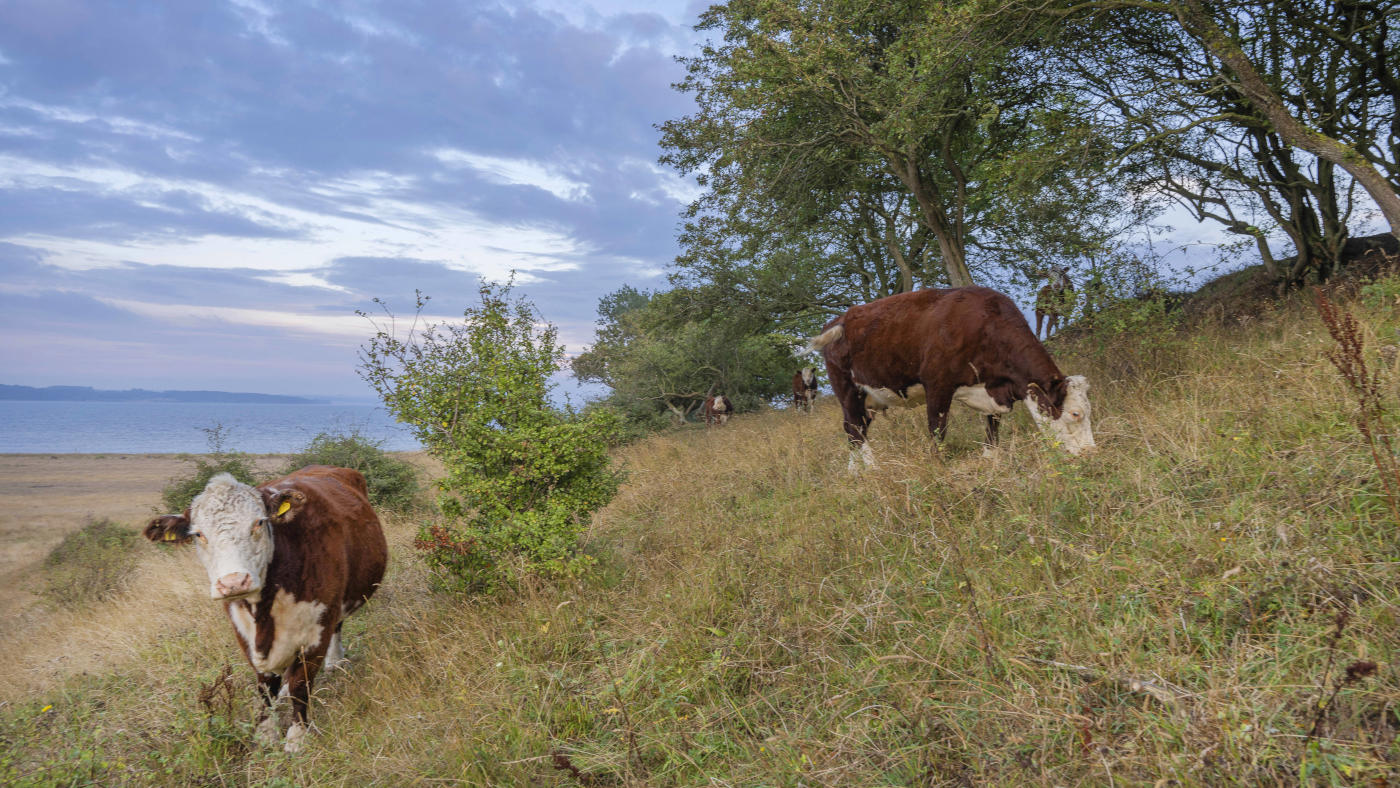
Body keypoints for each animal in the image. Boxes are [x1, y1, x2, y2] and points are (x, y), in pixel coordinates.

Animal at [142, 464, 389, 755]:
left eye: (259, 522)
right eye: (198, 534)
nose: (233, 582)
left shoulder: (318, 625)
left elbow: (300, 685)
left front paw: (297, 737)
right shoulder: (244, 632)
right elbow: (265, 686)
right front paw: (266, 733)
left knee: (337, 627)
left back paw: (335, 661)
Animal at [812, 286, 1092, 467]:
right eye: (1075, 413)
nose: (1090, 453)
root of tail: (837, 321)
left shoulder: (992, 389)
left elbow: (993, 426)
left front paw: (990, 458)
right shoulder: (937, 384)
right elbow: (937, 429)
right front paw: (939, 465)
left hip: (869, 399)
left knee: (852, 429)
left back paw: (855, 472)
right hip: (848, 390)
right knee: (855, 429)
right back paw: (871, 468)